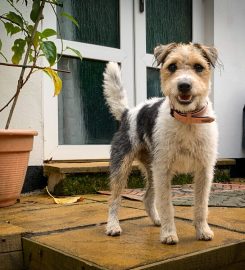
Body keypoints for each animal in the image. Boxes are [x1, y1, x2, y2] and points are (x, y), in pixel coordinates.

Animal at [103, 42, 218, 245]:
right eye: (172, 66)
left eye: (199, 67)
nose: (184, 85)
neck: (187, 120)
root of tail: (127, 113)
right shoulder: (163, 171)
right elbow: (166, 205)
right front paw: (169, 234)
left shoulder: (204, 170)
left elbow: (201, 205)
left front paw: (203, 231)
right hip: (122, 167)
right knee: (114, 200)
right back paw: (113, 226)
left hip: (151, 169)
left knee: (147, 197)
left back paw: (156, 220)